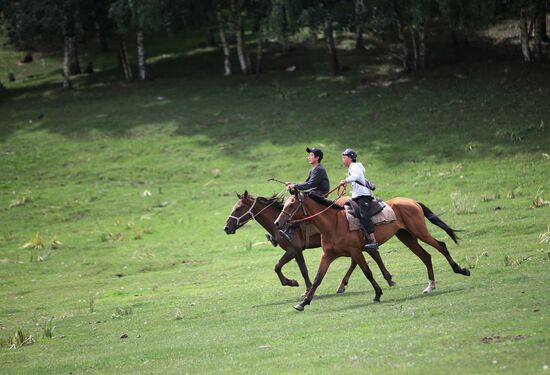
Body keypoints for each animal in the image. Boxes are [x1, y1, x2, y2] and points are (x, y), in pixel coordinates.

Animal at [224, 192, 396, 298]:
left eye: (238, 208)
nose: (226, 228)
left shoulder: (292, 250)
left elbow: (277, 266)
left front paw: (291, 283)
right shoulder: (297, 252)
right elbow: (304, 270)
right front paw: (307, 291)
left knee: (365, 256)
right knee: (369, 255)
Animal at [274, 191, 470, 312]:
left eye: (291, 205)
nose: (277, 223)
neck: (334, 223)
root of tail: (412, 201)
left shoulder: (356, 252)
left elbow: (367, 272)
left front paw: (377, 294)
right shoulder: (328, 255)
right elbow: (317, 279)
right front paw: (303, 302)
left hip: (419, 233)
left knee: (441, 246)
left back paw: (461, 270)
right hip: (407, 237)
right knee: (426, 256)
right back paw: (430, 286)